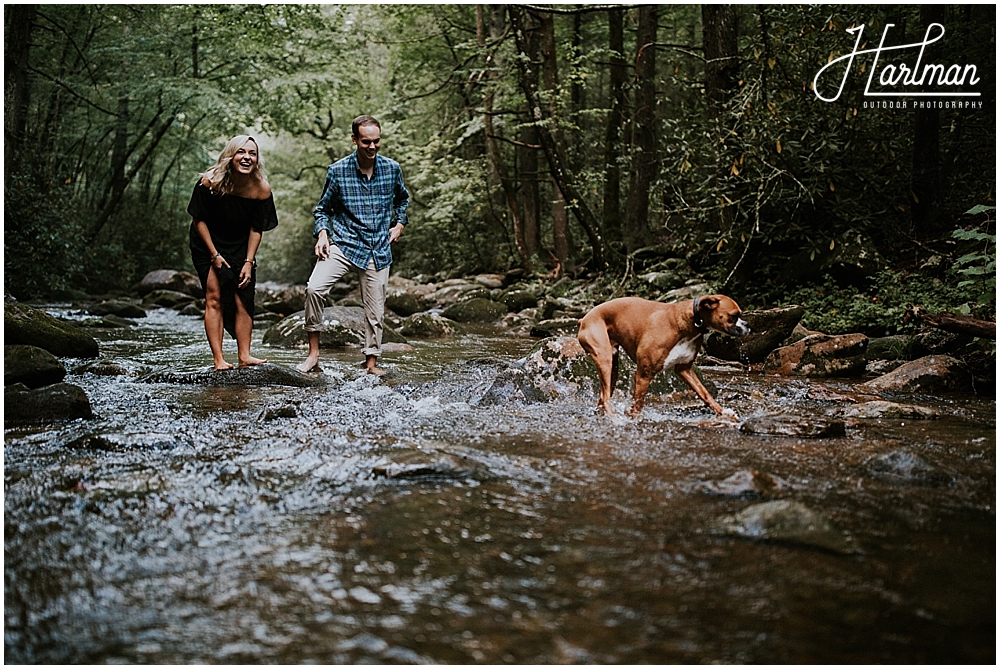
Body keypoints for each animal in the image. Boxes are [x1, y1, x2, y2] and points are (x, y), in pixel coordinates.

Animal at [576, 294, 748, 414]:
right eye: (733, 316)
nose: (747, 325)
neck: (688, 324)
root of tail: (584, 318)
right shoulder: (643, 376)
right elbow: (637, 407)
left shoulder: (684, 370)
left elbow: (705, 394)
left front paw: (725, 414)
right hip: (605, 360)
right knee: (605, 398)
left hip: (614, 367)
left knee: (602, 398)